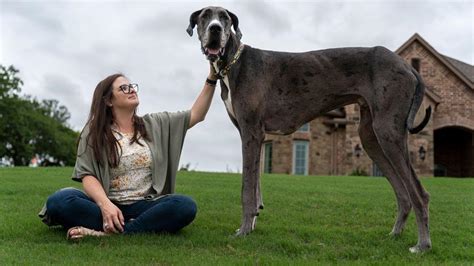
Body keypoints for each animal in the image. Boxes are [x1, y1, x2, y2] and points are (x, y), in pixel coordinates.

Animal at [187, 5, 432, 252]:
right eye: (205, 16)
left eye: (225, 18)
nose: (215, 29)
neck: (233, 62)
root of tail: (407, 66)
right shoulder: (255, 137)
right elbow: (255, 186)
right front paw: (252, 224)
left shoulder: (251, 132)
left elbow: (247, 188)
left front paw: (244, 230)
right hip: (370, 138)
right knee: (403, 194)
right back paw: (395, 234)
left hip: (388, 132)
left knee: (419, 193)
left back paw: (422, 245)